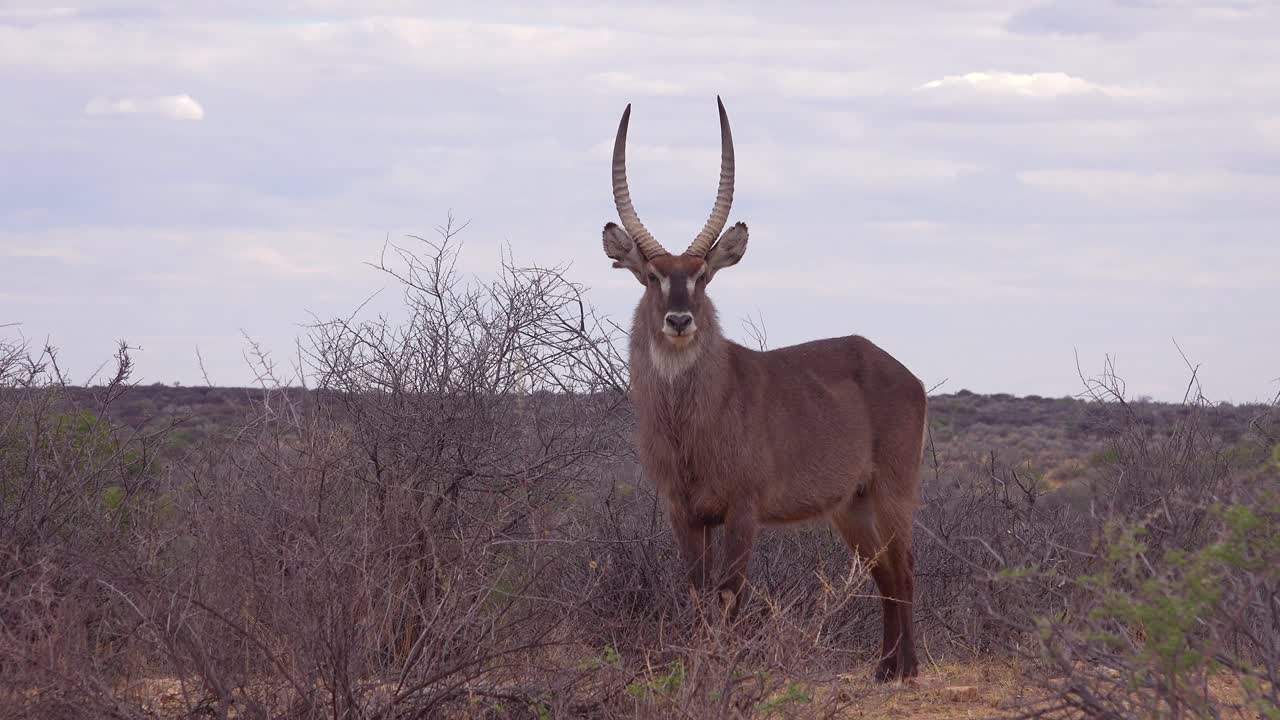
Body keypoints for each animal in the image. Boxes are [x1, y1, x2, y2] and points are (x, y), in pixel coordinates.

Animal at [600, 97, 928, 681]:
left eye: (703, 275)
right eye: (652, 276)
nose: (679, 320)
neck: (693, 421)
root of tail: (902, 373)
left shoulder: (743, 509)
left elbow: (730, 593)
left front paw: (720, 670)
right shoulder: (684, 511)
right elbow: (697, 592)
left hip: (893, 490)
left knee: (904, 569)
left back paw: (906, 669)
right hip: (852, 505)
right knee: (884, 573)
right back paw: (884, 668)